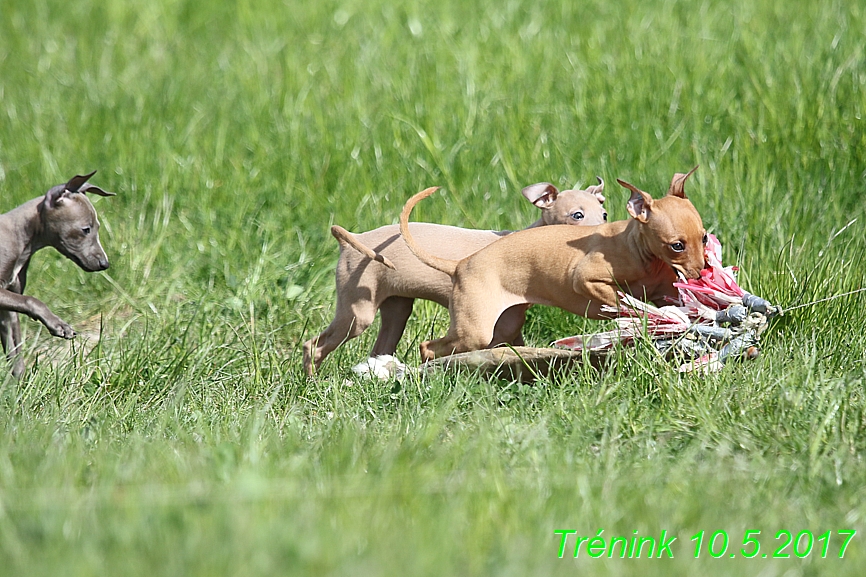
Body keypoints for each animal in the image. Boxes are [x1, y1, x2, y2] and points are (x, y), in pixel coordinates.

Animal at [0, 170, 115, 378]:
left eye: (98, 228)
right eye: (86, 229)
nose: (105, 264)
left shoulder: (9, 306)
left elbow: (15, 355)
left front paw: (18, 383)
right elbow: (32, 300)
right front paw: (58, 325)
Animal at [304, 178, 608, 374]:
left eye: (604, 214)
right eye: (577, 215)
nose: (601, 236)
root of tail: (350, 240)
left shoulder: (508, 325)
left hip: (397, 306)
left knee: (382, 344)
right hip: (357, 311)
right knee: (314, 345)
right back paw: (312, 382)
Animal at [402, 169, 704, 360]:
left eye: (703, 237)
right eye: (677, 245)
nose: (702, 273)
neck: (638, 248)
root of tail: (459, 265)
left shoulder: (664, 288)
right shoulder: (585, 279)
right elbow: (624, 301)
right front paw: (644, 316)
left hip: (504, 324)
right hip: (474, 329)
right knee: (428, 347)